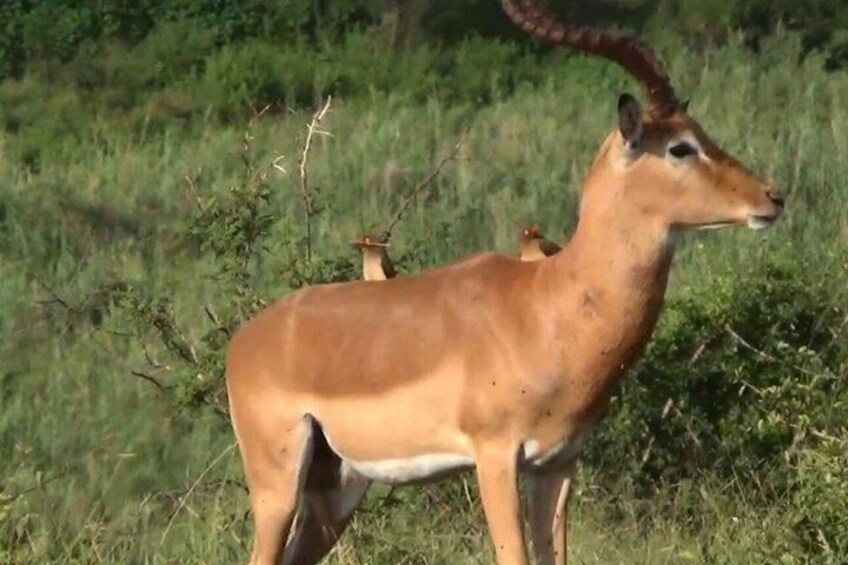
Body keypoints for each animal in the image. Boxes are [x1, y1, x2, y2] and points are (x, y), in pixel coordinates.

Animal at [225, 1, 785, 563]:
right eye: (679, 148)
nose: (772, 197)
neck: (548, 305)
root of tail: (244, 340)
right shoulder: (495, 456)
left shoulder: (556, 463)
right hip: (278, 486)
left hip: (337, 491)